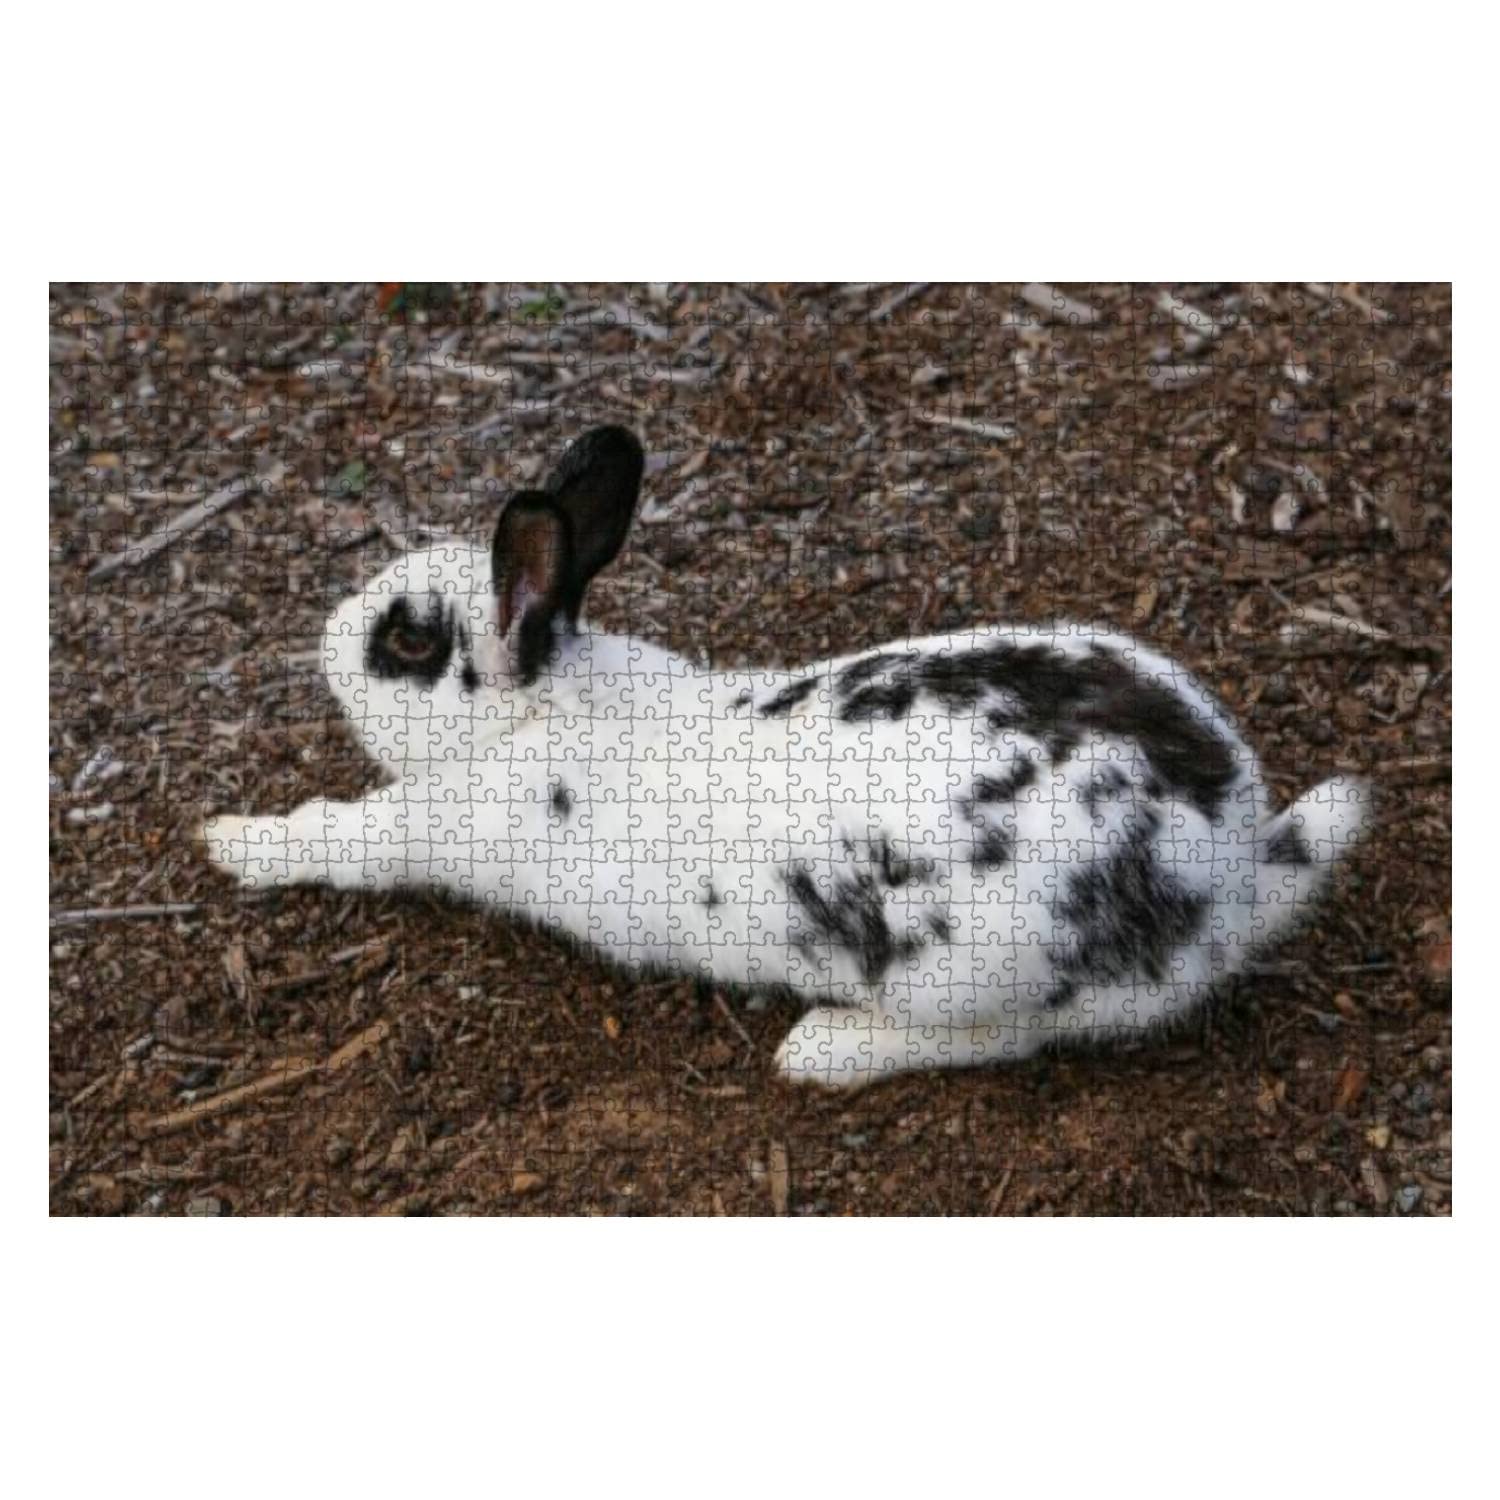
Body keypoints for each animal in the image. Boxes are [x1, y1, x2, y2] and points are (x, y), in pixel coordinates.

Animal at [202, 424, 1371, 1088]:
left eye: (404, 641)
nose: (323, 639)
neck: (538, 711)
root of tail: (1232, 867)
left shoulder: (432, 828)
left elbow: (340, 834)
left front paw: (228, 841)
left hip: (979, 976)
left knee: (999, 1040)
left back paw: (824, 1050)